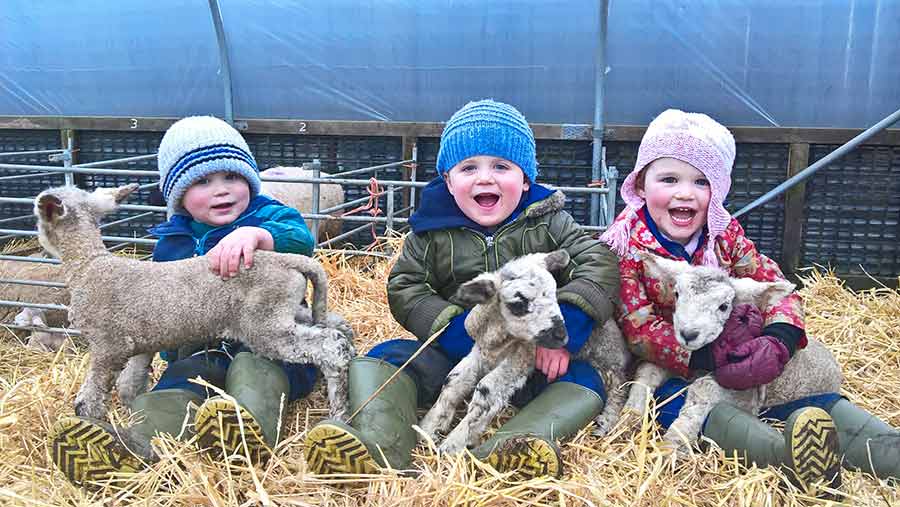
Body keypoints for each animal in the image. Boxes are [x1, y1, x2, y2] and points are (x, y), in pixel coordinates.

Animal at [35, 185, 358, 422]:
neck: (88, 265)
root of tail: (289, 260)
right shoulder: (141, 344)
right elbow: (130, 384)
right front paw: (131, 409)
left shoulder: (108, 346)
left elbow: (94, 390)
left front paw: (87, 418)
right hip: (290, 311)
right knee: (338, 327)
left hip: (265, 325)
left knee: (329, 347)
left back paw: (339, 412)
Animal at [416, 252, 632, 454]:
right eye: (519, 304)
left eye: (555, 294)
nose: (561, 336)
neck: (497, 339)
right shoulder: (480, 353)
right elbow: (452, 381)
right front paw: (429, 427)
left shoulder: (520, 360)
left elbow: (486, 391)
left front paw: (454, 443)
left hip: (607, 359)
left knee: (618, 389)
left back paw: (605, 421)